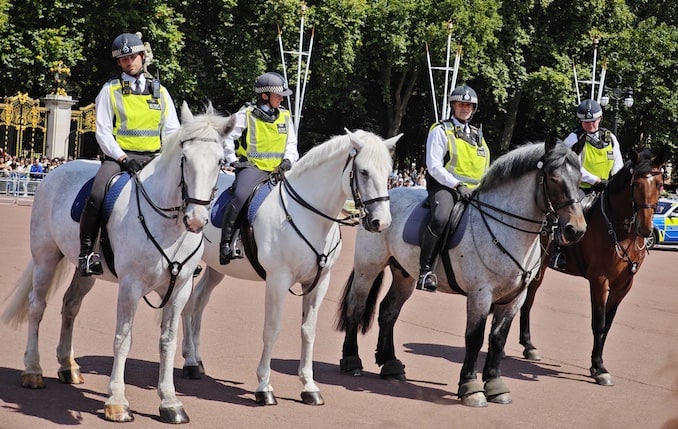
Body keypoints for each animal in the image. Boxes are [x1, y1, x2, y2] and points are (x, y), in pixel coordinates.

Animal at [2, 102, 235, 422]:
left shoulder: (180, 289)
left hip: (84, 270)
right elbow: (123, 339)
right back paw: (33, 370)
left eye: (220, 161)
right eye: (184, 158)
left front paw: (170, 401)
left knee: (70, 306)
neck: (168, 225)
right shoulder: (130, 286)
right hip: (45, 257)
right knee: (37, 307)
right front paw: (117, 401)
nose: (197, 220)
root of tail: (58, 170)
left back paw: (68, 367)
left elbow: (168, 340)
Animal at [182, 127, 404, 404]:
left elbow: (308, 331)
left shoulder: (318, 283)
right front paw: (264, 386)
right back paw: (190, 362)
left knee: (199, 302)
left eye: (388, 172)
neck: (309, 216)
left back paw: (196, 359)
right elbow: (272, 330)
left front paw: (309, 386)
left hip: (216, 269)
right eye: (363, 171)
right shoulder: (278, 280)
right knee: (188, 305)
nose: (381, 222)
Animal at [338, 135, 588, 406]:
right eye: (553, 178)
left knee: (388, 312)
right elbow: (475, 338)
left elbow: (498, 340)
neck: (506, 229)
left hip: (404, 275)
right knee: (356, 307)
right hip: (368, 268)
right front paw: (471, 387)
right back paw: (351, 360)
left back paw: (390, 363)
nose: (576, 229)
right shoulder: (480, 295)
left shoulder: (515, 299)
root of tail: (379, 201)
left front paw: (495, 385)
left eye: (579, 179)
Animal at [520, 146, 668, 384]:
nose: (645, 228)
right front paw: (599, 368)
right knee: (528, 300)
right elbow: (598, 323)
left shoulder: (623, 285)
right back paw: (527, 345)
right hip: (537, 268)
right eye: (636, 183)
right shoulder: (599, 280)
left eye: (660, 184)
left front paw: (596, 363)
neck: (620, 229)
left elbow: (607, 324)